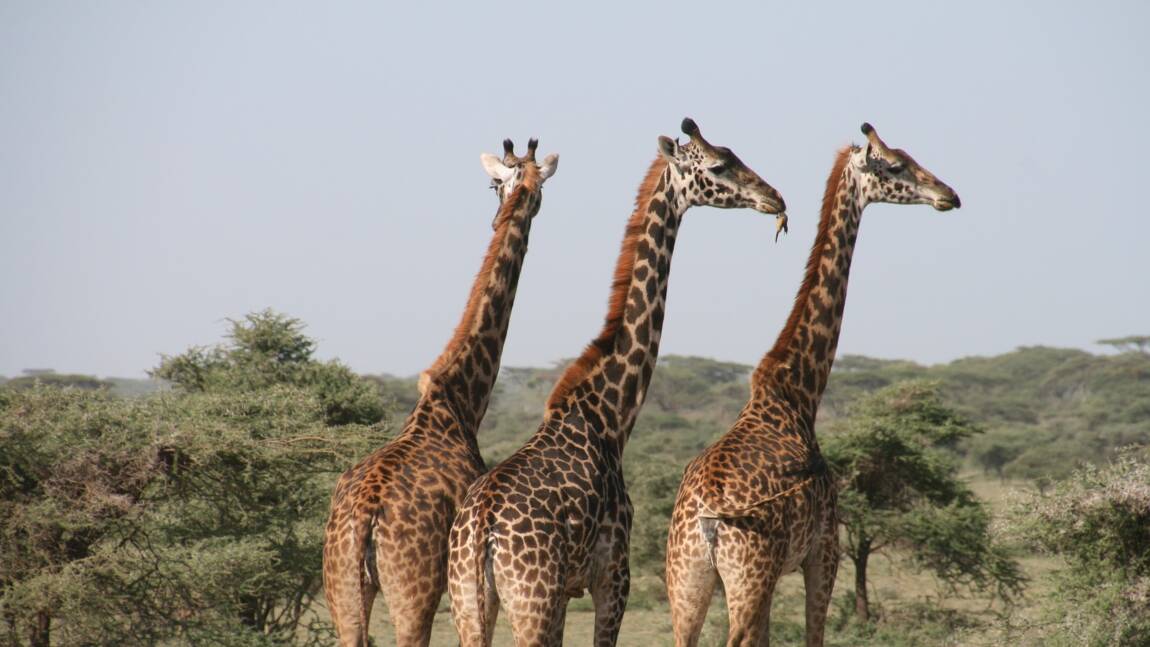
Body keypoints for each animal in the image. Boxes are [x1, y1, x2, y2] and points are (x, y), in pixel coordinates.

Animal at [322, 137, 558, 647]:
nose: (503, 212)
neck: (460, 401)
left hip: (341, 588)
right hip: (413, 591)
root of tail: (365, 516)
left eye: (496, 184)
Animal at [443, 117, 786, 647]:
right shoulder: (613, 575)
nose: (773, 197)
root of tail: (482, 529)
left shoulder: (567, 592)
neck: (609, 414)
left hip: (469, 603)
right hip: (531, 602)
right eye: (717, 166)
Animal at [667, 122, 961, 647]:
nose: (949, 195)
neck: (800, 392)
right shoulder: (825, 551)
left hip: (687, 580)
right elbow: (813, 634)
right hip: (749, 574)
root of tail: (705, 521)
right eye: (897, 166)